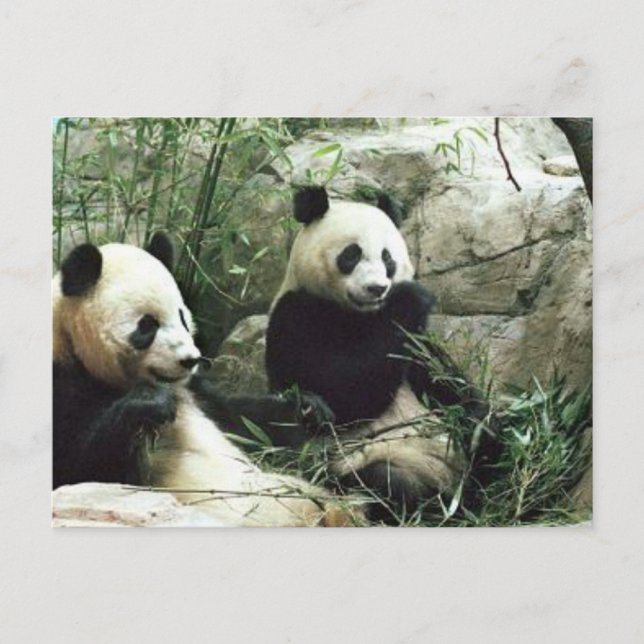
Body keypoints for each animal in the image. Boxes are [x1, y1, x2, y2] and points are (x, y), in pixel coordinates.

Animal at [53, 232, 361, 527]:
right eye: (147, 325)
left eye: (181, 316)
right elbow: (79, 468)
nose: (190, 359)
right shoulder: (64, 384)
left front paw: (307, 408)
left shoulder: (199, 392)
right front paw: (151, 403)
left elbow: (245, 419)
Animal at [265, 186, 491, 521]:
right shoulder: (296, 314)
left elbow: (445, 383)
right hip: (366, 464)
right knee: (385, 481)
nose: (377, 288)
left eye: (388, 258)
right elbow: (343, 393)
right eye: (351, 254)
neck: (361, 315)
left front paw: (475, 416)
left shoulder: (415, 343)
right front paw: (410, 295)